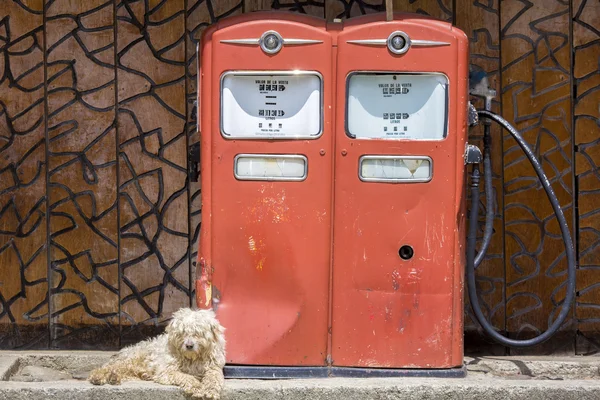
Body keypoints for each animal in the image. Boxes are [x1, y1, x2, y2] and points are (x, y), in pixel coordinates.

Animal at [89, 308, 227, 398]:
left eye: (198, 332)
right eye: (182, 332)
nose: (189, 346)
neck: (193, 358)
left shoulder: (213, 368)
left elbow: (214, 378)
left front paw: (210, 390)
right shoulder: (167, 371)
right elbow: (185, 376)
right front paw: (197, 387)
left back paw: (117, 377)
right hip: (130, 360)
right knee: (105, 368)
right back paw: (99, 377)